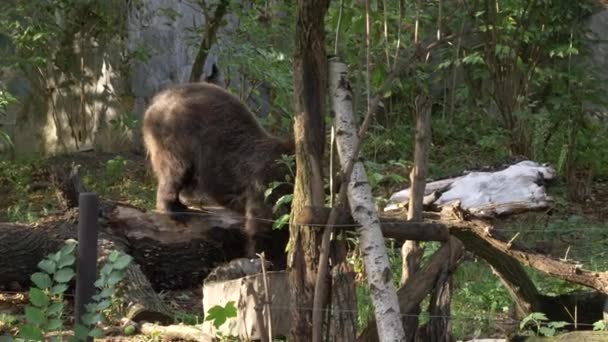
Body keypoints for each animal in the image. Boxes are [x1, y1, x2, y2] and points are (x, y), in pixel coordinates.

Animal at [142, 81, 294, 264]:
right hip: (178, 134)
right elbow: (266, 225)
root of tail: (158, 98)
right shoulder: (268, 182)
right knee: (175, 170)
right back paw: (176, 209)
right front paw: (264, 258)